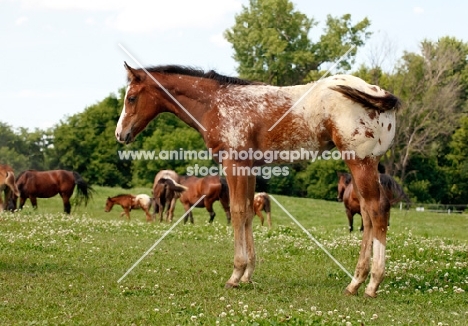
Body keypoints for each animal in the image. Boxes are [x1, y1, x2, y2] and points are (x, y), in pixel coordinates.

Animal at [115, 63, 400, 298]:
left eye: (131, 97)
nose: (120, 134)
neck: (217, 104)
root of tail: (375, 91)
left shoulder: (235, 164)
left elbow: (238, 211)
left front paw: (235, 274)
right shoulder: (249, 169)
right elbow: (249, 212)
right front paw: (248, 274)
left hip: (360, 161)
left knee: (377, 210)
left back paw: (371, 284)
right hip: (362, 165)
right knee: (367, 214)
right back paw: (356, 282)